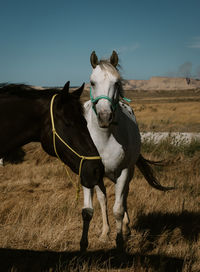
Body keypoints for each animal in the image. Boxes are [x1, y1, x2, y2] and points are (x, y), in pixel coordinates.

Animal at [80, 51, 173, 251]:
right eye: (92, 82)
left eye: (117, 82)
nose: (105, 117)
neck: (104, 138)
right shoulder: (88, 173)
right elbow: (89, 210)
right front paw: (85, 244)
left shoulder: (123, 171)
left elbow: (118, 208)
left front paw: (120, 241)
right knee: (103, 199)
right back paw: (105, 232)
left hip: (126, 173)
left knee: (123, 197)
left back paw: (126, 227)